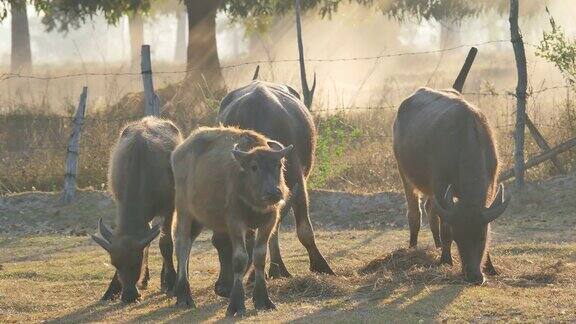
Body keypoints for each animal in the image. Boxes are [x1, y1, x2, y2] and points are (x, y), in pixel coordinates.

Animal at [91, 117, 182, 304]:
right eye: (115, 264)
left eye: (135, 263)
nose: (128, 296)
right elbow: (145, 244)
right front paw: (112, 289)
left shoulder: (168, 208)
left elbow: (165, 244)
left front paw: (171, 282)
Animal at [169, 126, 290, 316]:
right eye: (254, 167)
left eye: (278, 165)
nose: (273, 192)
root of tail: (178, 151)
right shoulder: (235, 223)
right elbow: (240, 258)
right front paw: (237, 304)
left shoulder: (268, 221)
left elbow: (259, 256)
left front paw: (263, 299)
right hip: (184, 210)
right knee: (182, 243)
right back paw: (184, 295)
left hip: (199, 216)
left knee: (188, 242)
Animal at [215, 79, 332, 288]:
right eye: (216, 243)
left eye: (240, 244)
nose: (222, 287)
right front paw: (262, 273)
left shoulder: (297, 181)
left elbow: (303, 230)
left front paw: (321, 266)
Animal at [394, 87, 510, 284]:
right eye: (458, 238)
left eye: (482, 237)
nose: (474, 275)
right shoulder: (440, 184)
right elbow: (445, 227)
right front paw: (446, 259)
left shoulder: (491, 184)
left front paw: (490, 267)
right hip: (405, 174)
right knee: (415, 214)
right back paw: (413, 248)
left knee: (431, 210)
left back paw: (438, 245)